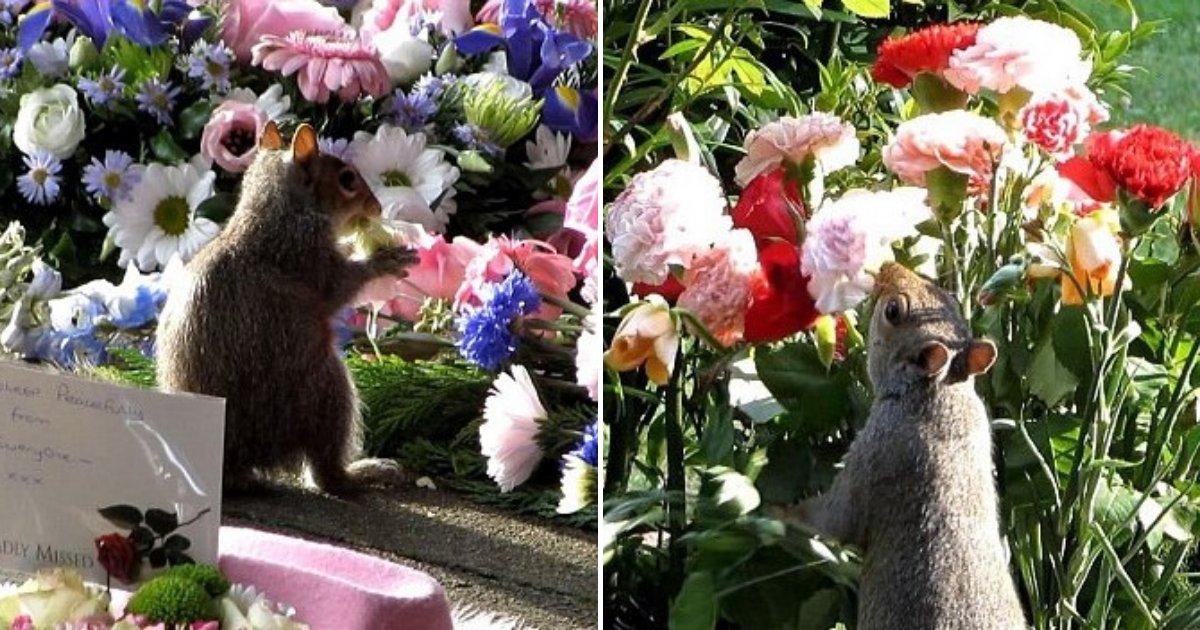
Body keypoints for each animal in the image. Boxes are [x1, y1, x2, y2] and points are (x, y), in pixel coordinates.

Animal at [154, 123, 420, 494]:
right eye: (347, 179)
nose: (377, 208)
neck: (276, 209)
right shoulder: (304, 253)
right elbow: (338, 286)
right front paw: (383, 260)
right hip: (325, 391)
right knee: (325, 473)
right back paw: (363, 472)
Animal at [772, 259, 1027, 624]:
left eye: (892, 311)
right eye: (949, 298)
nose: (887, 265)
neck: (938, 398)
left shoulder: (877, 451)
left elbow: (835, 517)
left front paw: (779, 512)